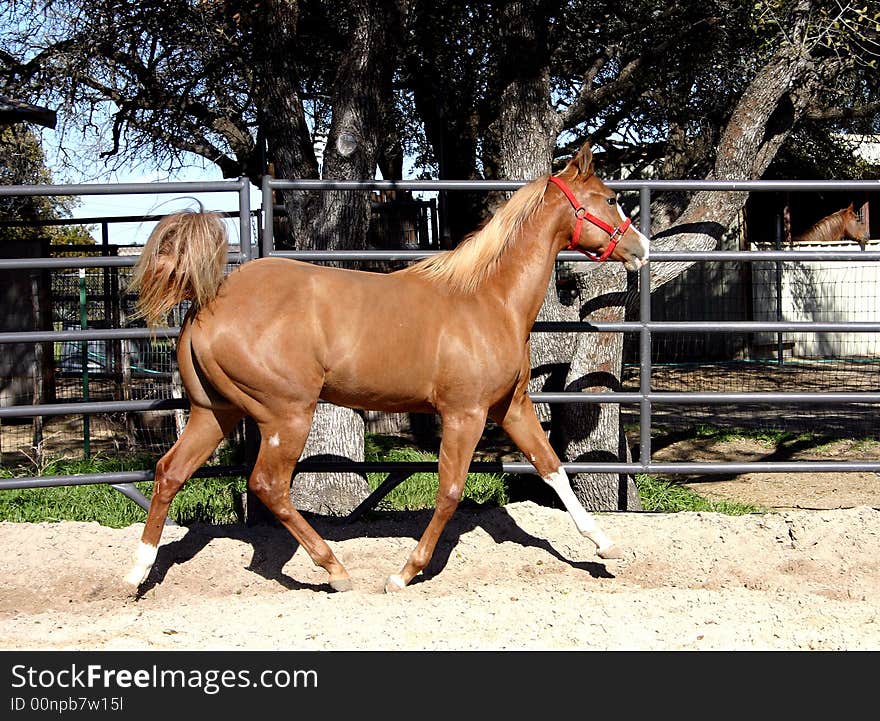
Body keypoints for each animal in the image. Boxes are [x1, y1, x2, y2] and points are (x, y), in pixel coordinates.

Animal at [122, 141, 648, 592]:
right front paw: (404, 574)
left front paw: (606, 546)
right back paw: (335, 570)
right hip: (285, 415)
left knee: (169, 472)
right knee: (268, 486)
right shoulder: (465, 414)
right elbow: (450, 490)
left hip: (215, 411)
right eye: (610, 198)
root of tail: (209, 298)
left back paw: (137, 573)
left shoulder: (511, 407)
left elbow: (553, 468)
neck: (487, 299)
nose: (640, 249)